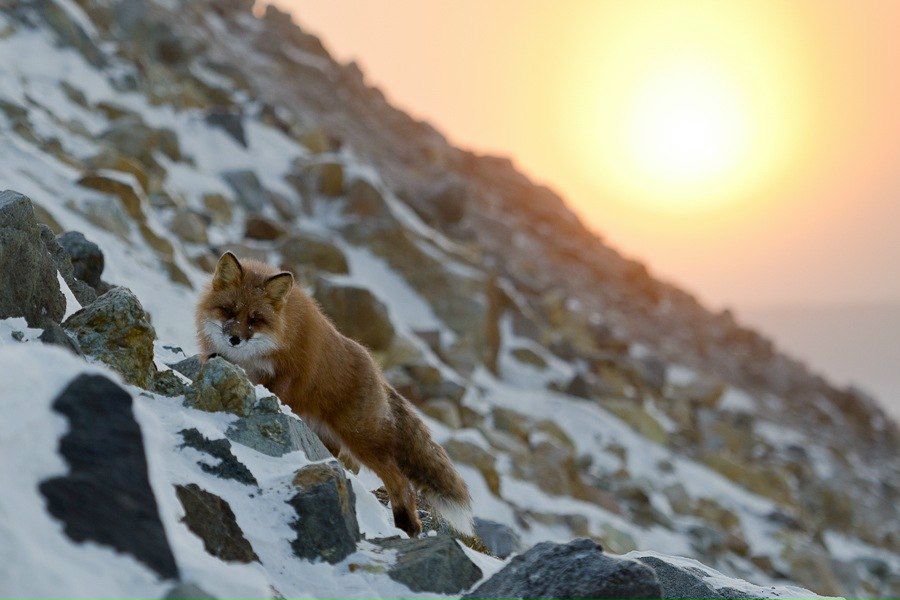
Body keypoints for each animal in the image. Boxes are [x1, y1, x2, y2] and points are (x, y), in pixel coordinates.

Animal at [195, 251, 473, 537]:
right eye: (228, 310)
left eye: (255, 319)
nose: (234, 340)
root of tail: (379, 375)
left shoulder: (288, 375)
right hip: (330, 438)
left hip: (362, 439)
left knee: (400, 481)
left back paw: (408, 525)